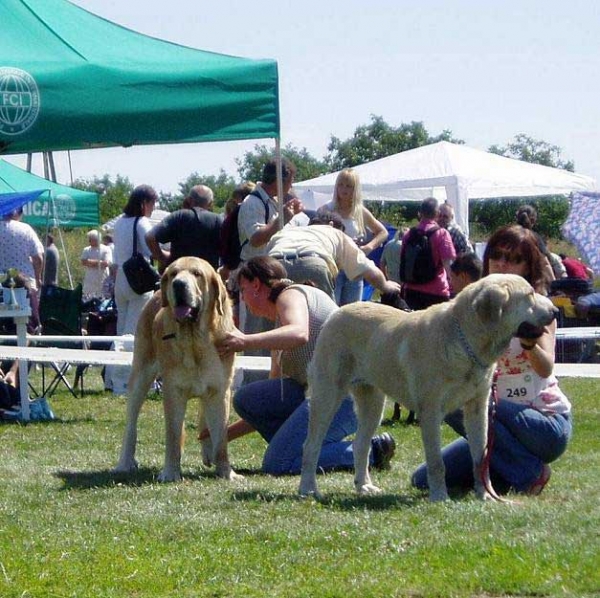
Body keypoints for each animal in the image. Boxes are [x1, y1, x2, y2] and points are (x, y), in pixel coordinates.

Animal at [115, 256, 241, 482]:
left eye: (197, 274)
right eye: (173, 273)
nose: (178, 284)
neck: (194, 340)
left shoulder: (220, 391)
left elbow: (221, 439)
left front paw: (227, 473)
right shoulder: (173, 391)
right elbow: (173, 435)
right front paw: (170, 473)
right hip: (140, 376)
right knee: (131, 424)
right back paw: (125, 462)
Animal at [300, 276, 556, 502]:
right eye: (530, 295)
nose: (555, 311)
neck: (467, 341)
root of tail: (337, 312)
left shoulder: (478, 408)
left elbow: (480, 457)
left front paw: (485, 495)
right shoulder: (431, 410)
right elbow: (436, 462)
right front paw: (440, 497)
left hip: (373, 403)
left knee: (360, 444)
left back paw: (363, 486)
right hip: (328, 396)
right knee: (311, 446)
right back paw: (308, 489)